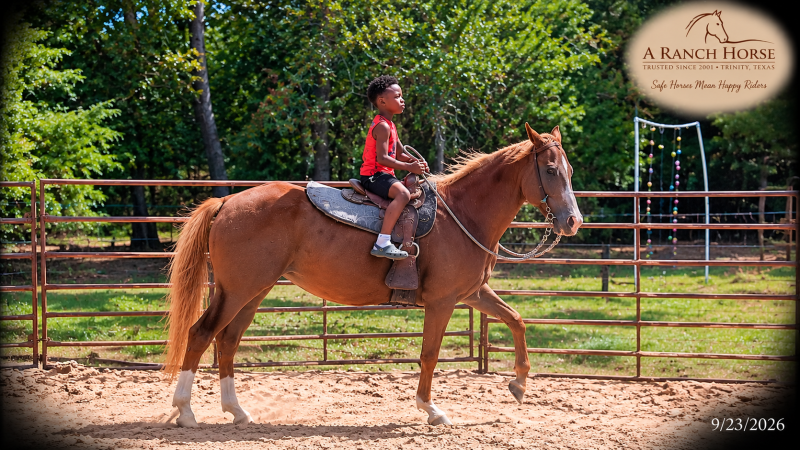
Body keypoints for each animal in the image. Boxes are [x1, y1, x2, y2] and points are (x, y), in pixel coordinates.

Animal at [163, 123, 583, 427]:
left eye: (570, 171)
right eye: (550, 170)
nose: (573, 221)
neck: (463, 214)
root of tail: (227, 201)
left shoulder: (473, 293)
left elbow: (516, 320)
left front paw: (519, 384)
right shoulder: (444, 301)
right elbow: (429, 354)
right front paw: (432, 410)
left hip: (253, 292)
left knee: (228, 339)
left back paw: (237, 411)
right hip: (237, 290)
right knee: (201, 334)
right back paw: (186, 412)